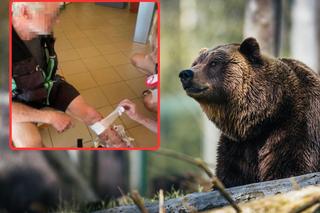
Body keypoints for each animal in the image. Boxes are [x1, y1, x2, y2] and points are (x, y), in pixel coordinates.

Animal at [179, 37, 320, 187]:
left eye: (214, 62)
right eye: (195, 63)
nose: (185, 74)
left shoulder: (297, 126)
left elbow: (289, 167)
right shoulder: (237, 146)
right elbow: (229, 175)